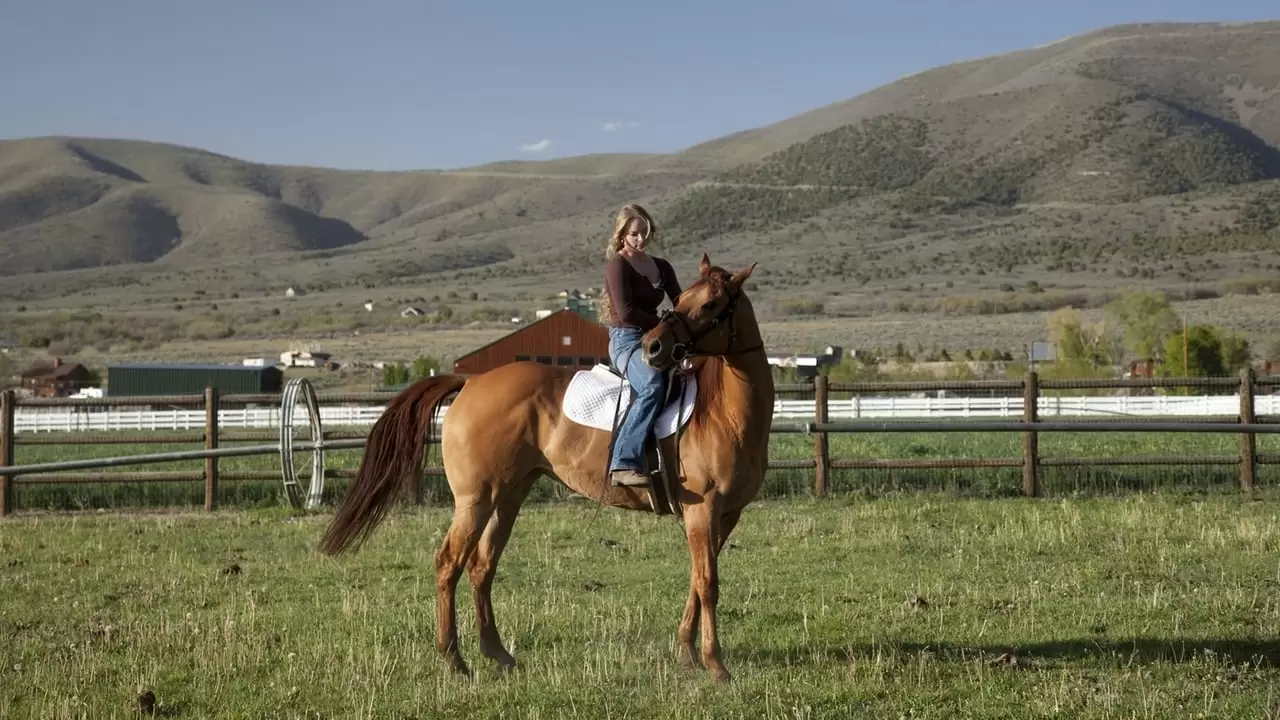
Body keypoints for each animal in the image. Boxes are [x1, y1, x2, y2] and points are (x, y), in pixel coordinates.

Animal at [318, 254, 768, 681]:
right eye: (681, 300)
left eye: (709, 304)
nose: (653, 348)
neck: (723, 414)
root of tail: (471, 383)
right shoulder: (701, 510)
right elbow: (708, 584)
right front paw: (715, 665)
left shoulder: (725, 515)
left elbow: (696, 581)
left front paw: (688, 656)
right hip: (475, 499)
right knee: (449, 563)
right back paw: (455, 661)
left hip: (509, 496)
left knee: (482, 567)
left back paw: (498, 654)